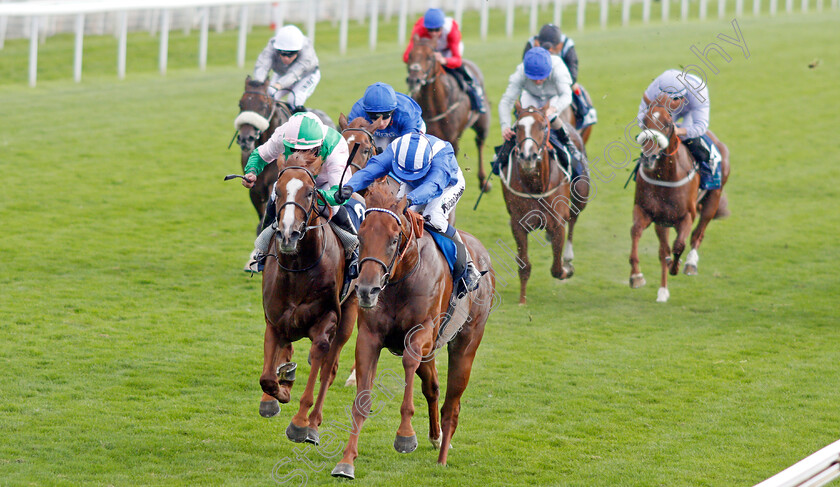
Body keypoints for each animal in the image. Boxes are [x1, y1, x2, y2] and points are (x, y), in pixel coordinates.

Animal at [260, 152, 358, 446]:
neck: (298, 269)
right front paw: (278, 391)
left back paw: (313, 423)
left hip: (350, 313)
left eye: (310, 192)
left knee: (329, 368)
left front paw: (300, 423)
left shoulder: (327, 320)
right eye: (278, 192)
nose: (288, 234)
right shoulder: (275, 320)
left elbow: (319, 359)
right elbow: (267, 376)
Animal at [332, 177, 496, 478]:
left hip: (466, 344)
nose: (366, 290)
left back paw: (442, 457)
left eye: (394, 239)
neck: (403, 276)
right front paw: (346, 461)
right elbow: (362, 401)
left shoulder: (421, 334)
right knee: (433, 387)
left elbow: (409, 361)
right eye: (360, 237)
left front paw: (405, 435)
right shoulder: (369, 337)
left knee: (452, 405)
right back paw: (436, 437)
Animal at [406, 36, 492, 192]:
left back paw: (483, 181)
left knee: (480, 142)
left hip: (482, 121)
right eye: (410, 55)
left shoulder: (452, 139)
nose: (414, 80)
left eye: (430, 57)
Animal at [502, 102, 588, 304]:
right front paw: (522, 300)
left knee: (573, 218)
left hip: (582, 193)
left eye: (542, 126)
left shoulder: (557, 223)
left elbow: (556, 268)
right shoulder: (518, 224)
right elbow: (524, 265)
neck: (535, 186)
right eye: (517, 127)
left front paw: (566, 269)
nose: (528, 156)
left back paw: (568, 258)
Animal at [632, 93, 728, 304]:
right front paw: (636, 275)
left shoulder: (686, 216)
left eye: (668, 124)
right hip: (663, 221)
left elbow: (679, 245)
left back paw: (690, 264)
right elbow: (637, 232)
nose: (648, 158)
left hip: (713, 198)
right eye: (644, 121)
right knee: (663, 250)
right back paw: (662, 291)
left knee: (698, 233)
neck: (665, 176)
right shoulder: (647, 211)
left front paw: (675, 266)